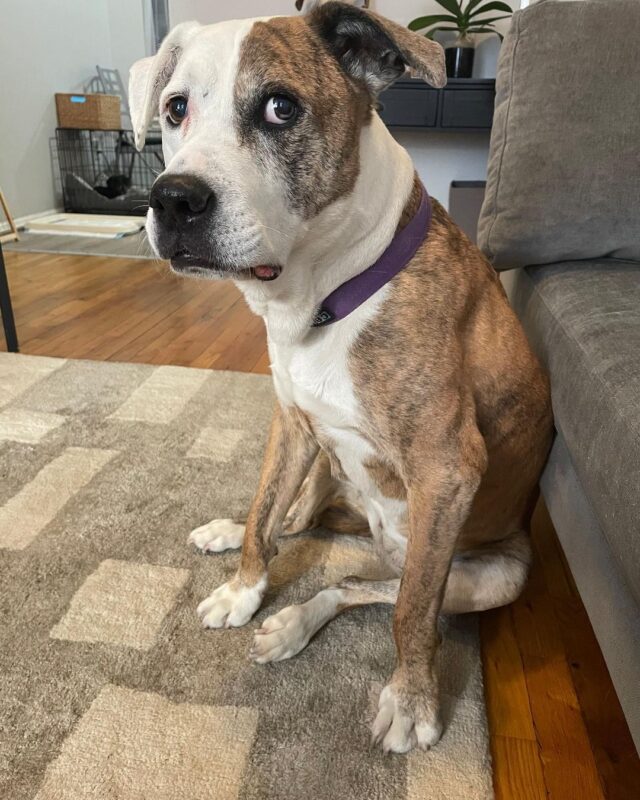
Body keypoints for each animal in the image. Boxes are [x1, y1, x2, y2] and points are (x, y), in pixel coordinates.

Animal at [129, 0, 553, 754]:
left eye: (280, 107)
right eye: (176, 108)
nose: (171, 199)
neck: (321, 297)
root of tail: (372, 533)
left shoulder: (447, 468)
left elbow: (412, 615)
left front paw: (412, 702)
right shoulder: (293, 422)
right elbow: (265, 513)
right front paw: (242, 590)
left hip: (487, 574)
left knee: (374, 588)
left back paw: (296, 623)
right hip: (332, 471)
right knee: (302, 523)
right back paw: (242, 549)